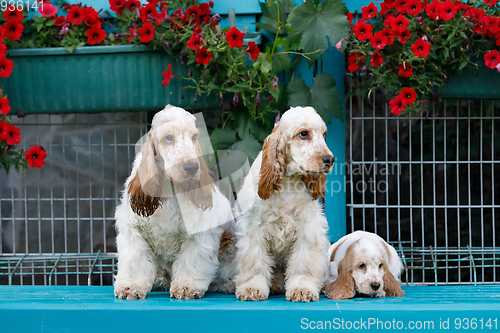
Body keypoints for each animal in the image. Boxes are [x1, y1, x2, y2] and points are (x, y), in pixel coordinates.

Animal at [114, 105, 235, 300]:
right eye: (168, 138)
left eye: (194, 137)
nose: (192, 168)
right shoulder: (132, 228)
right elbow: (136, 261)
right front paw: (130, 287)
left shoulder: (199, 233)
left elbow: (191, 261)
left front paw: (186, 287)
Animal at [232, 105, 334, 300]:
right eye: (304, 134)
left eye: (324, 135)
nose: (330, 160)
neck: (288, 182)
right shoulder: (253, 228)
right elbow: (255, 263)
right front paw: (252, 289)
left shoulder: (307, 229)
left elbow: (303, 264)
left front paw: (302, 289)